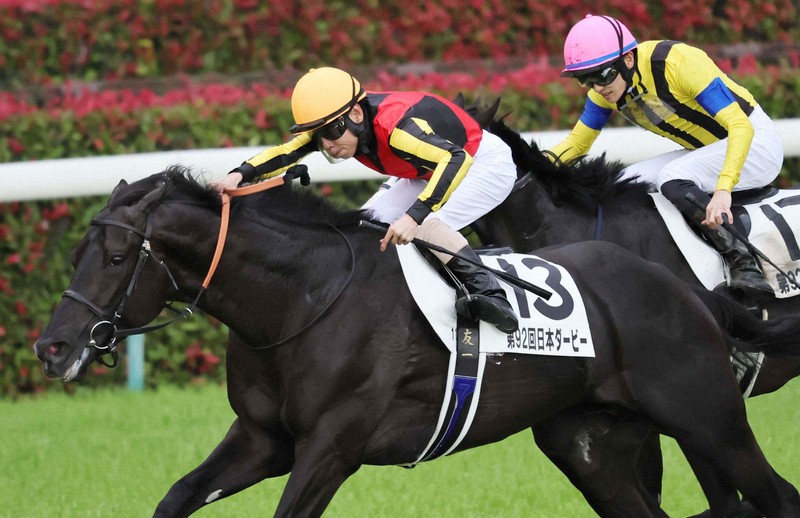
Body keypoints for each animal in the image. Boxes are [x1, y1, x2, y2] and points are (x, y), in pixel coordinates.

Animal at [34, 167, 800, 517]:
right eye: (77, 251)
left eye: (113, 256)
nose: (51, 348)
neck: (301, 301)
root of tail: (688, 289)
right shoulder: (262, 439)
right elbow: (177, 497)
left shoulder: (330, 448)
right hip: (590, 444)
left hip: (706, 417)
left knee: (775, 494)